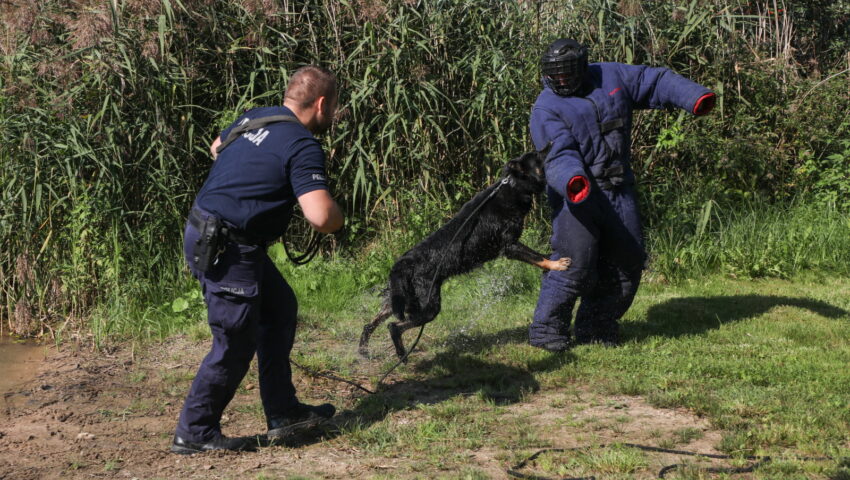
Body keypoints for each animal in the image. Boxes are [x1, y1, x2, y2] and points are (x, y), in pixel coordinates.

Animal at [358, 146, 568, 360]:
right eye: (538, 156)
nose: (552, 143)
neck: (512, 187)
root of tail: (402, 264)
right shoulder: (510, 246)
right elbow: (537, 257)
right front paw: (557, 265)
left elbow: (540, 255)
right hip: (428, 307)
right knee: (394, 326)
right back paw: (401, 354)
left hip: (397, 300)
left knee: (369, 324)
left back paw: (364, 351)